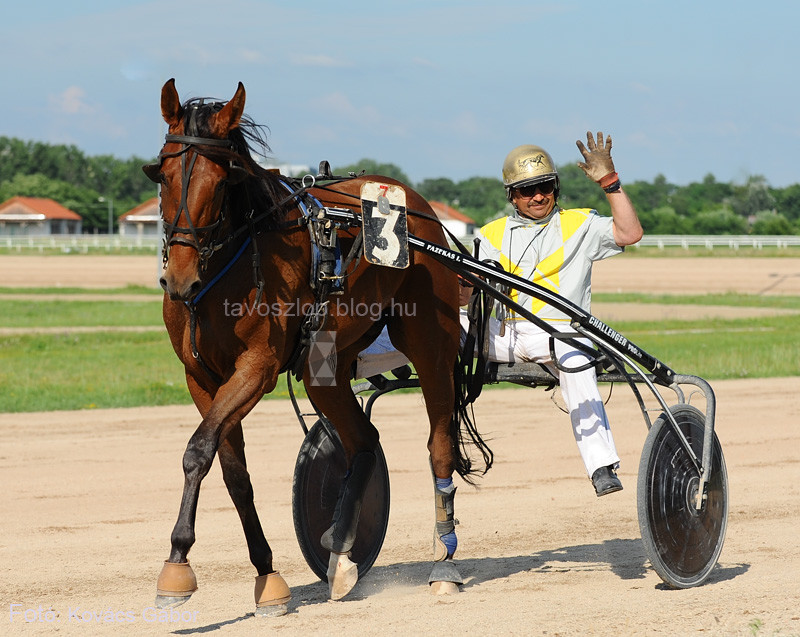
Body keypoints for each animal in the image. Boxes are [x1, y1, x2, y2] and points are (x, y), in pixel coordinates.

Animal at [145, 77, 494, 612]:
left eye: (222, 182)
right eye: (163, 176)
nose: (180, 280)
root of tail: (425, 214)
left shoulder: (258, 365)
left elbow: (198, 449)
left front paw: (177, 564)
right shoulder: (200, 375)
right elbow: (232, 472)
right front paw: (267, 574)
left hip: (431, 347)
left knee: (438, 448)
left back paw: (443, 564)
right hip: (324, 364)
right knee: (364, 440)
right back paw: (342, 551)